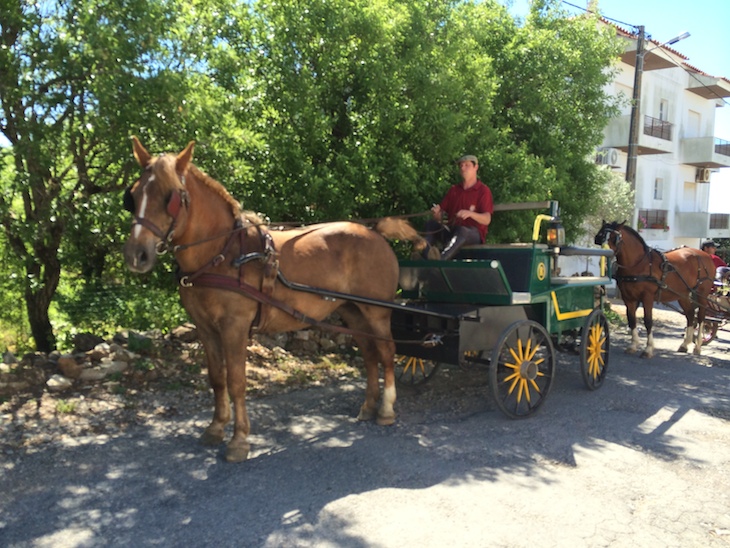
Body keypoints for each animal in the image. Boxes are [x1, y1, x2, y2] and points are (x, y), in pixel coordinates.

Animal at [121, 138, 430, 462]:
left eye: (170, 197)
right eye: (133, 195)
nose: (136, 255)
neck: (222, 253)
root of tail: (375, 232)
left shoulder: (234, 326)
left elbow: (237, 381)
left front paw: (239, 440)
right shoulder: (205, 328)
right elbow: (217, 378)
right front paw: (216, 428)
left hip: (377, 311)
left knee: (387, 352)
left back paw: (386, 409)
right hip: (352, 311)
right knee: (370, 354)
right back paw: (369, 406)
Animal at [592, 220, 712, 358]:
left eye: (614, 238)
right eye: (600, 237)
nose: (602, 261)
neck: (639, 264)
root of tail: (706, 255)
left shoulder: (647, 297)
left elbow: (648, 321)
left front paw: (648, 349)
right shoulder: (628, 298)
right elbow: (631, 320)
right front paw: (633, 345)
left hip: (702, 295)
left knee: (701, 317)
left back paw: (697, 346)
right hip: (683, 295)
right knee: (690, 315)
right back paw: (684, 344)